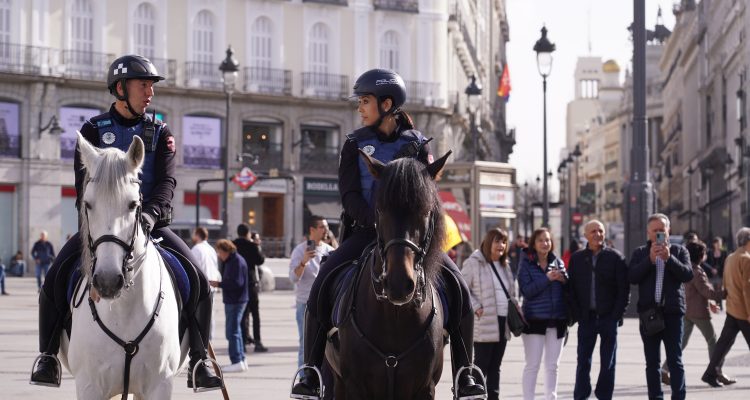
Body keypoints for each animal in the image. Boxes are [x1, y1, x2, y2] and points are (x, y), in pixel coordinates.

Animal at [58, 134, 188, 400]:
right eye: (88, 204)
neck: (122, 309)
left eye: (132, 204)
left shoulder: (159, 385)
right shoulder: (89, 386)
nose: (107, 281)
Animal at [324, 151, 452, 400]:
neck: (395, 316)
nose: (399, 284)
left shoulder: (425, 388)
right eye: (380, 210)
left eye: (425, 211)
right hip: (336, 380)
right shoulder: (355, 386)